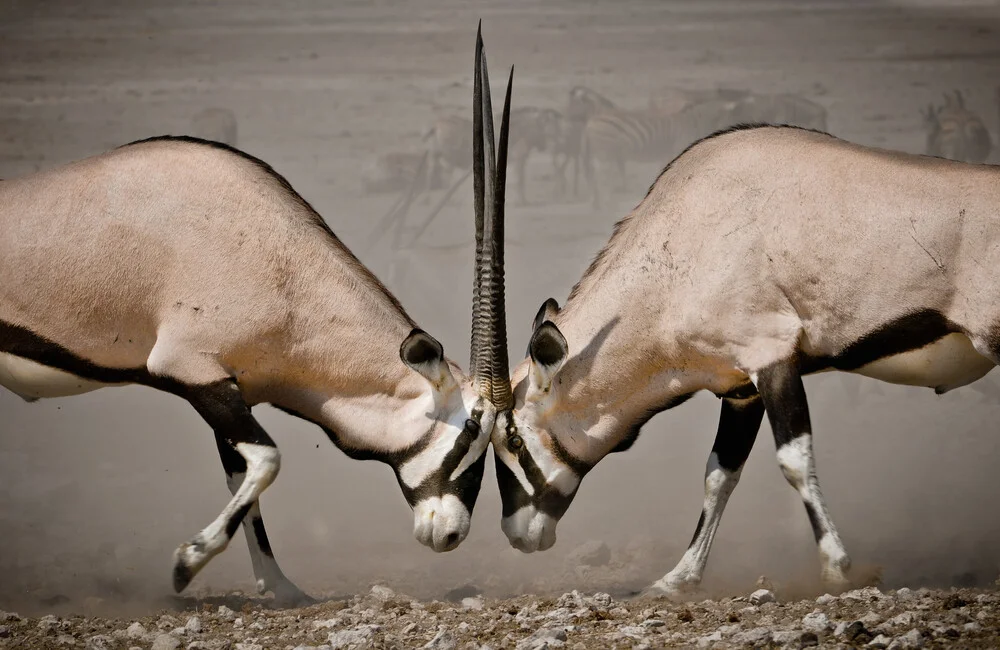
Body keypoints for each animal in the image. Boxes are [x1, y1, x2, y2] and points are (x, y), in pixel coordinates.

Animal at [0, 29, 516, 604]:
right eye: (471, 430)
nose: (450, 534)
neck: (280, 264)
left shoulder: (231, 389)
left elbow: (243, 477)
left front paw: (282, 587)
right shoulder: (195, 373)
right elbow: (268, 461)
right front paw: (186, 563)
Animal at [496, 120, 1000, 592]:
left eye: (512, 440)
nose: (517, 534)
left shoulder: (770, 359)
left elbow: (793, 459)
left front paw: (837, 570)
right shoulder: (740, 388)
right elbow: (719, 473)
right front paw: (676, 580)